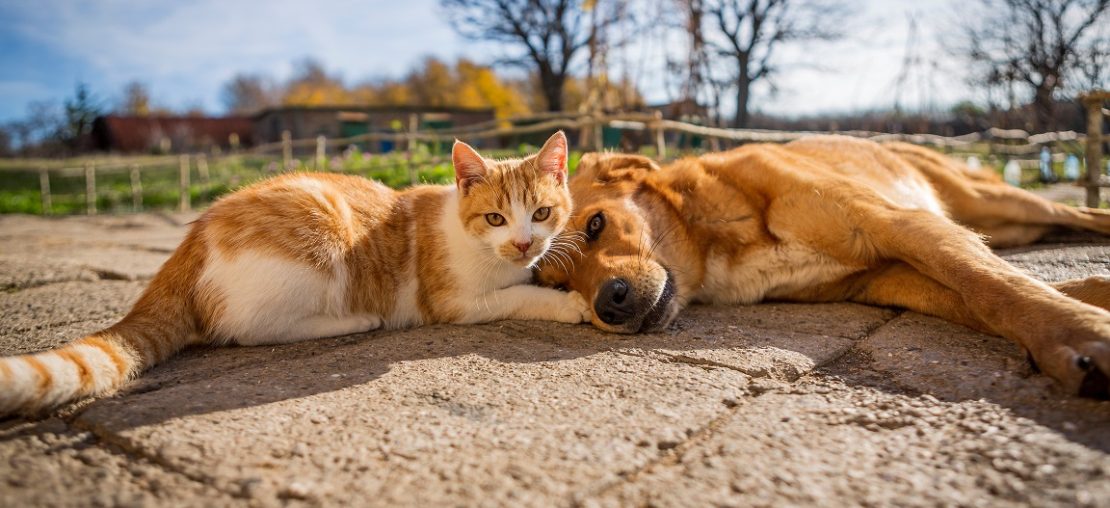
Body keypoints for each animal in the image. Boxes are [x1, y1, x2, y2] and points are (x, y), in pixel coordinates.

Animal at [0, 130, 590, 417]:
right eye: (495, 218)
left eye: (542, 213)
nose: (523, 242)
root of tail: (194, 237)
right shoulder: (455, 302)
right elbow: (515, 295)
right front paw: (567, 303)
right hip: (318, 241)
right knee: (245, 329)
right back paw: (353, 321)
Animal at [537, 136, 1110, 399]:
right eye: (558, 285)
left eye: (595, 225)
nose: (608, 304)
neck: (715, 236)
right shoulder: (887, 277)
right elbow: (978, 299)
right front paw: (1086, 298)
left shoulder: (898, 223)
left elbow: (991, 285)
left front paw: (1079, 334)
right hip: (1005, 224)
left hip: (996, 201)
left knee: (1077, 216)